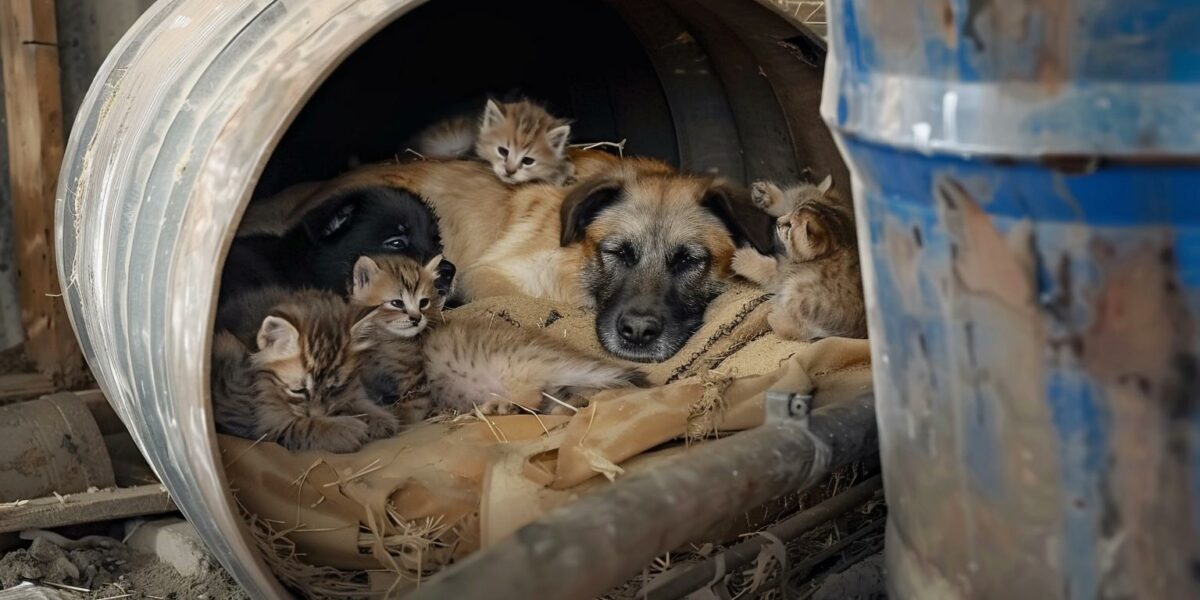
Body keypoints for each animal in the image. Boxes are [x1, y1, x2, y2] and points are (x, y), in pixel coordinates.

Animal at [350, 253, 648, 417]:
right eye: (396, 302)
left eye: (423, 302)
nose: (415, 318)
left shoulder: (415, 383)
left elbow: (406, 410)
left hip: (515, 367)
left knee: (533, 397)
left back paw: (498, 407)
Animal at [724, 175, 868, 340]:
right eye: (790, 216)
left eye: (790, 226)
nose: (778, 222)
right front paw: (770, 198)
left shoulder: (784, 271)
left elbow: (766, 268)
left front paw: (741, 258)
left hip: (799, 292)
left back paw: (775, 317)